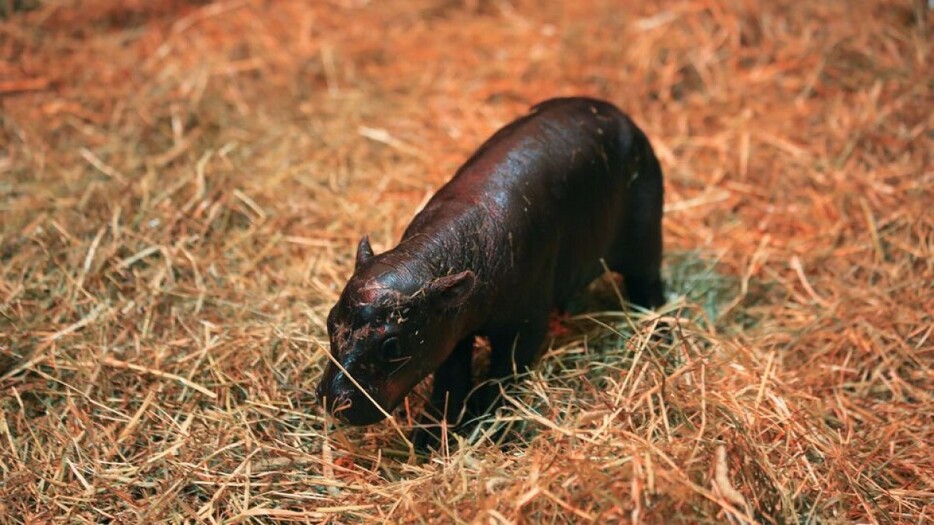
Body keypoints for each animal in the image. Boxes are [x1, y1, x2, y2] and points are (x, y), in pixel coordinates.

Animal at [320, 96, 664, 444]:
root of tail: (620, 114)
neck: (431, 258)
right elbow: (450, 380)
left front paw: (486, 428)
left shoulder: (524, 327)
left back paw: (658, 332)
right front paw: (429, 438)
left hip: (646, 241)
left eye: (392, 345)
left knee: (649, 285)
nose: (334, 400)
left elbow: (503, 376)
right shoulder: (451, 330)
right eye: (330, 320)